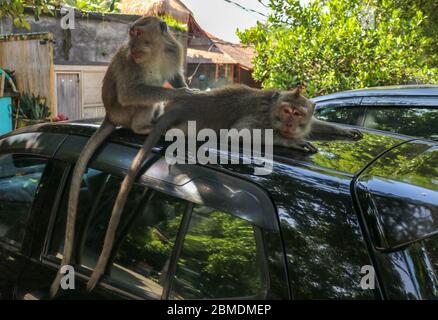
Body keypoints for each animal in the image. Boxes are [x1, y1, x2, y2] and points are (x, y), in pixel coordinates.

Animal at [49, 16, 193, 298]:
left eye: (138, 33)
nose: (132, 44)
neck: (155, 52)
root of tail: (109, 116)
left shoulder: (174, 51)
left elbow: (175, 76)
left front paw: (187, 87)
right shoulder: (130, 62)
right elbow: (130, 92)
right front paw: (179, 95)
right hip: (125, 113)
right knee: (143, 99)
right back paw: (143, 127)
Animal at [85, 84, 362, 290]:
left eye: (298, 114)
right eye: (287, 111)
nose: (289, 125)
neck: (273, 112)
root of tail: (183, 105)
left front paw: (343, 130)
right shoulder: (259, 119)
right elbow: (238, 134)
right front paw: (292, 142)